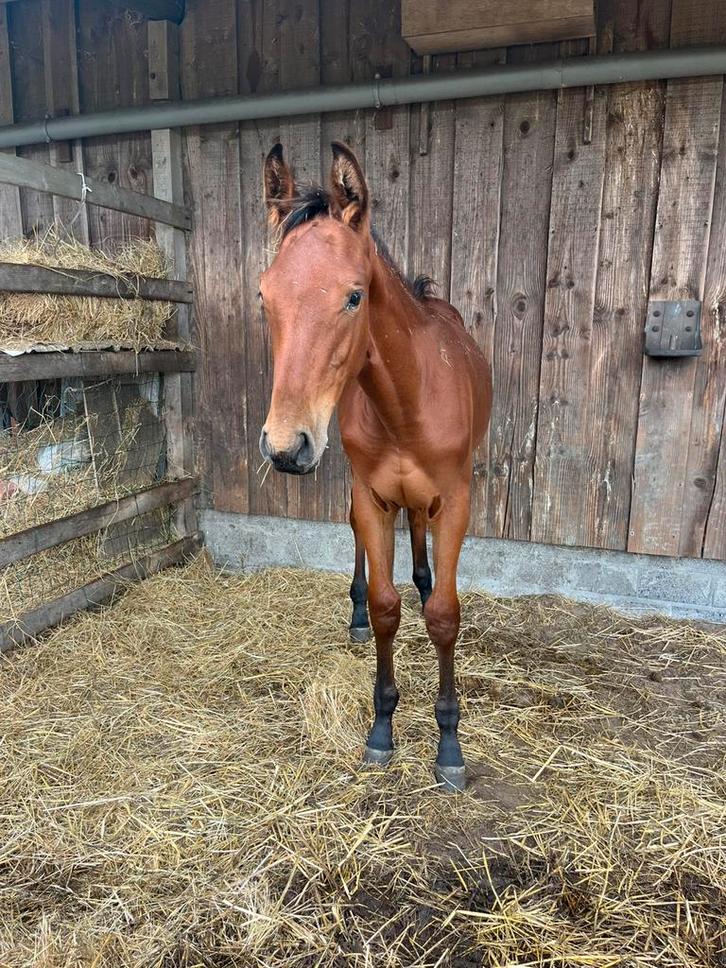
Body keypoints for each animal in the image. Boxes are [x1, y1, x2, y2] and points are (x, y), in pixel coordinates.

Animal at [259, 141, 492, 791]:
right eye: (265, 296)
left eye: (354, 295)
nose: (285, 446)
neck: (405, 402)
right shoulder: (371, 496)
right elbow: (389, 608)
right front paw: (382, 726)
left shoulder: (456, 500)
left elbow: (444, 614)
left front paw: (449, 745)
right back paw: (359, 612)